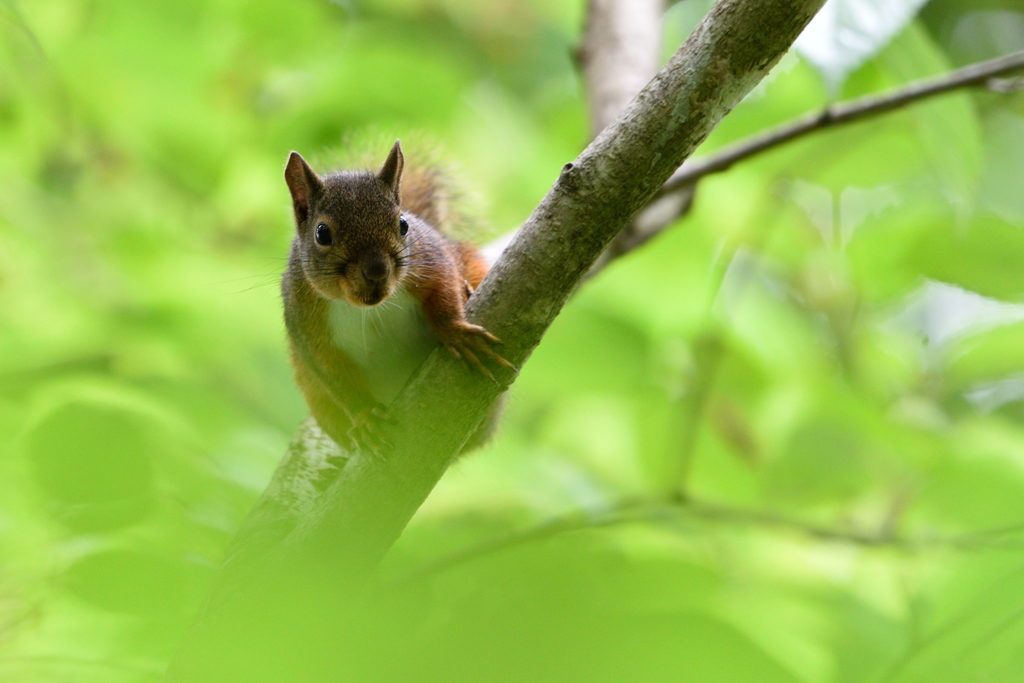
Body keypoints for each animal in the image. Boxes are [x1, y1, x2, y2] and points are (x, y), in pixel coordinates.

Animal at [280, 140, 512, 454]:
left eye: (403, 224)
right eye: (322, 233)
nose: (377, 272)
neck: (365, 308)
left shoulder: (431, 259)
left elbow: (443, 290)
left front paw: (454, 331)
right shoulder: (306, 327)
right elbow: (337, 378)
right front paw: (365, 418)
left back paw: (467, 292)